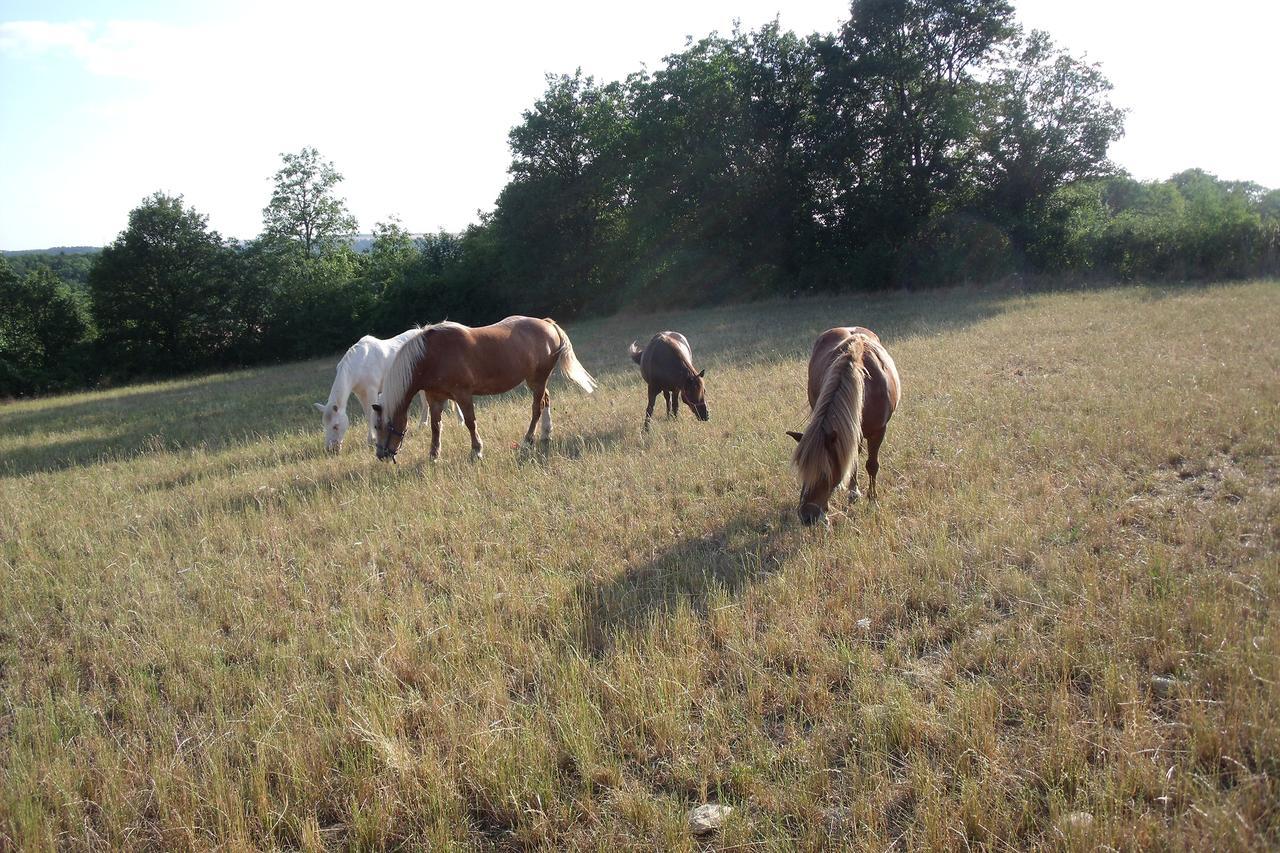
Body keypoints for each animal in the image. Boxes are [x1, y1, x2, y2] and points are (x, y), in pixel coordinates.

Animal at [314, 327, 460, 450]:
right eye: (325, 425)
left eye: (335, 426)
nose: (331, 449)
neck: (359, 363)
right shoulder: (360, 394)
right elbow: (367, 415)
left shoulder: (371, 390)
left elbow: (371, 413)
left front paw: (372, 439)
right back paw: (422, 425)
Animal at [366, 313, 593, 458]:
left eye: (380, 425)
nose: (381, 455)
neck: (431, 356)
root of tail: (548, 324)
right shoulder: (435, 398)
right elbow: (436, 426)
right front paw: (434, 454)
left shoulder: (463, 395)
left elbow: (470, 422)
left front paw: (477, 450)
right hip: (535, 381)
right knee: (545, 400)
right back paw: (546, 434)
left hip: (537, 379)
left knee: (537, 408)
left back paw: (528, 439)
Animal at [783, 326, 906, 522]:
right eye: (802, 469)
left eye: (825, 474)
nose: (807, 517)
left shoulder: (878, 431)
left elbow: (872, 465)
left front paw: (873, 501)